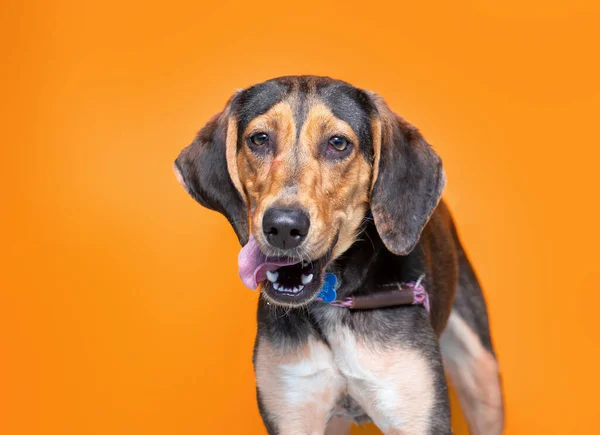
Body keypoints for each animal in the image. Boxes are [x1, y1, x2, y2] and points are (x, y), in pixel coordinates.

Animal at [175, 76, 506, 434]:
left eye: (338, 143)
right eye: (259, 139)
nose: (283, 226)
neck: (335, 304)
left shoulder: (416, 417)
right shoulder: (293, 410)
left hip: (482, 377)